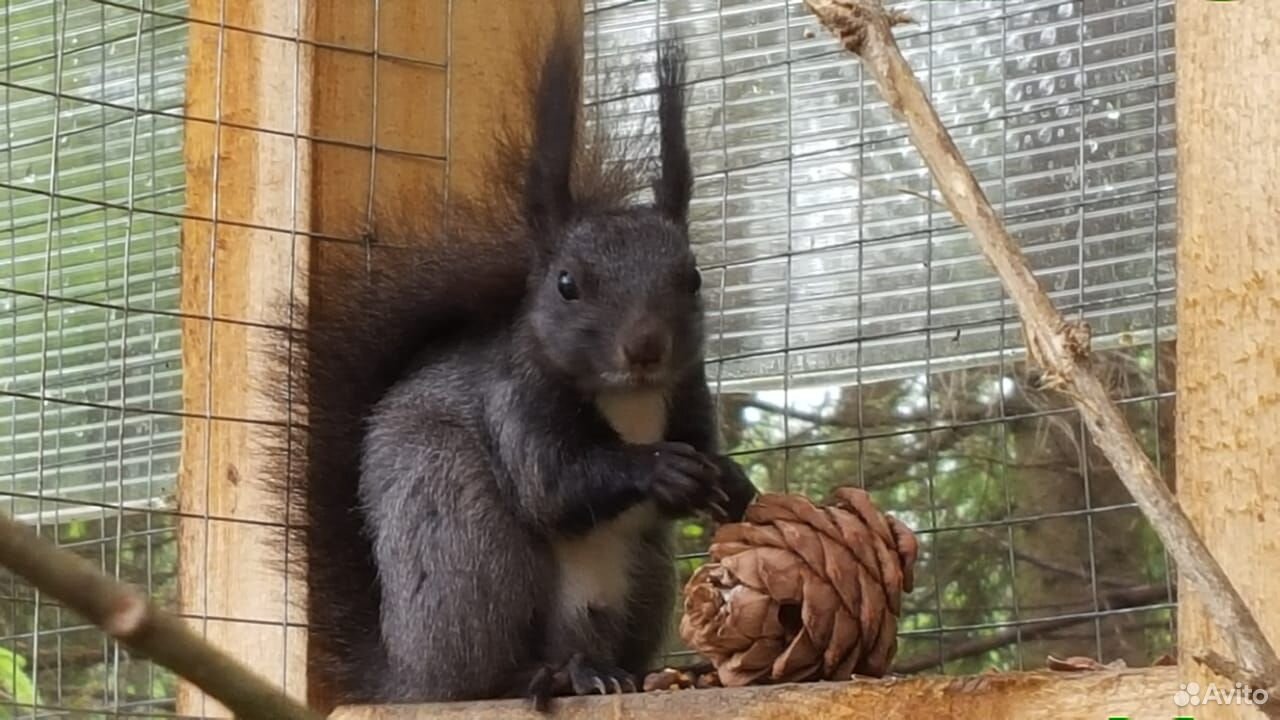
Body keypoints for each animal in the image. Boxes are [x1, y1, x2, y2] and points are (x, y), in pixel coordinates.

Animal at [261, 20, 757, 707]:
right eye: (567, 284)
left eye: (694, 278)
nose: (645, 347)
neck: (629, 398)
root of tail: (407, 675)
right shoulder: (516, 402)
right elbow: (551, 485)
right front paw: (659, 467)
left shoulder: (686, 392)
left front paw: (733, 483)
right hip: (466, 540)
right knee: (480, 673)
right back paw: (540, 676)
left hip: (645, 577)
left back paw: (609, 673)